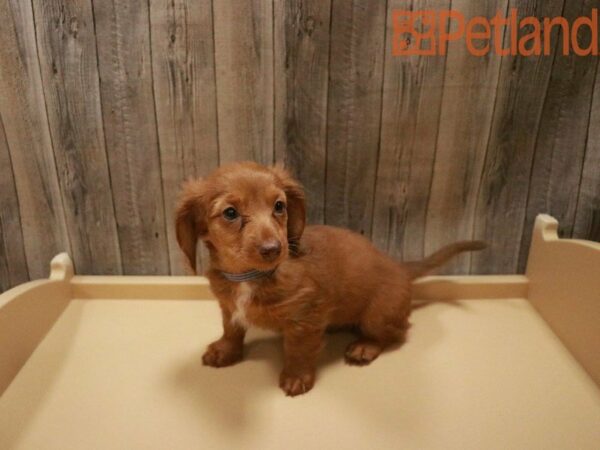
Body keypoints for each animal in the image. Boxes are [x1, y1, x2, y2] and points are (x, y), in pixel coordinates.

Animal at [176, 163, 486, 396]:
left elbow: (298, 349)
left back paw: (365, 346)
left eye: (279, 206)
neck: (249, 276)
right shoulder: (228, 307)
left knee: (396, 333)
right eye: (230, 213)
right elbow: (231, 329)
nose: (274, 249)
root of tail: (399, 267)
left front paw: (296, 376)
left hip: (378, 314)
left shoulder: (307, 317)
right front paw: (225, 351)